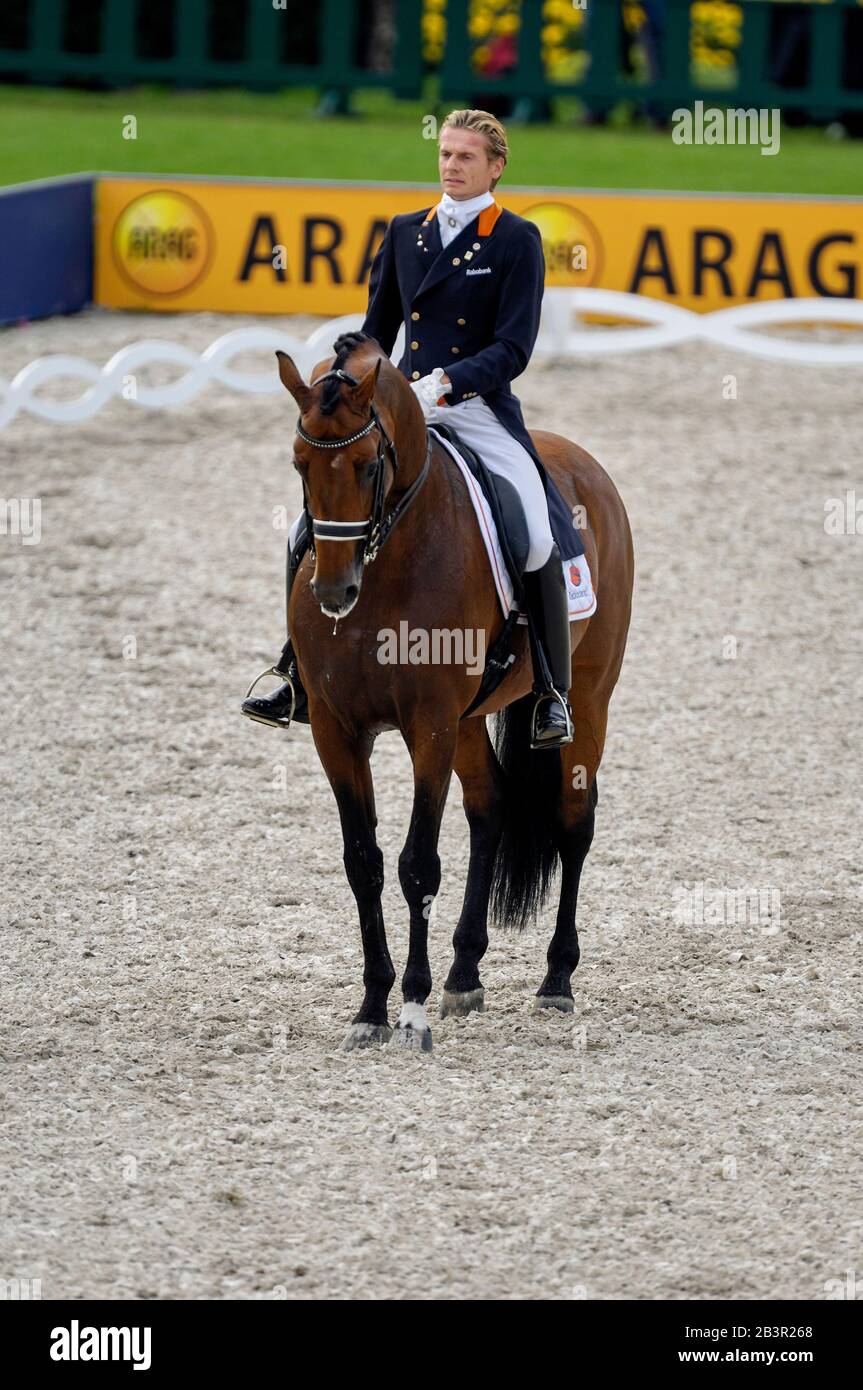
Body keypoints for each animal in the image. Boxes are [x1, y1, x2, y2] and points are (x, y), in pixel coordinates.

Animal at [272, 341, 628, 1045]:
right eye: (300, 464)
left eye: (367, 465)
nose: (333, 592)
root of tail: (581, 461)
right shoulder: (335, 729)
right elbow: (364, 862)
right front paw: (372, 1008)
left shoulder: (428, 725)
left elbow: (418, 864)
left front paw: (409, 1007)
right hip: (468, 720)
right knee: (490, 807)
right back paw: (464, 974)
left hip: (588, 697)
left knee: (574, 822)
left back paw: (556, 981)